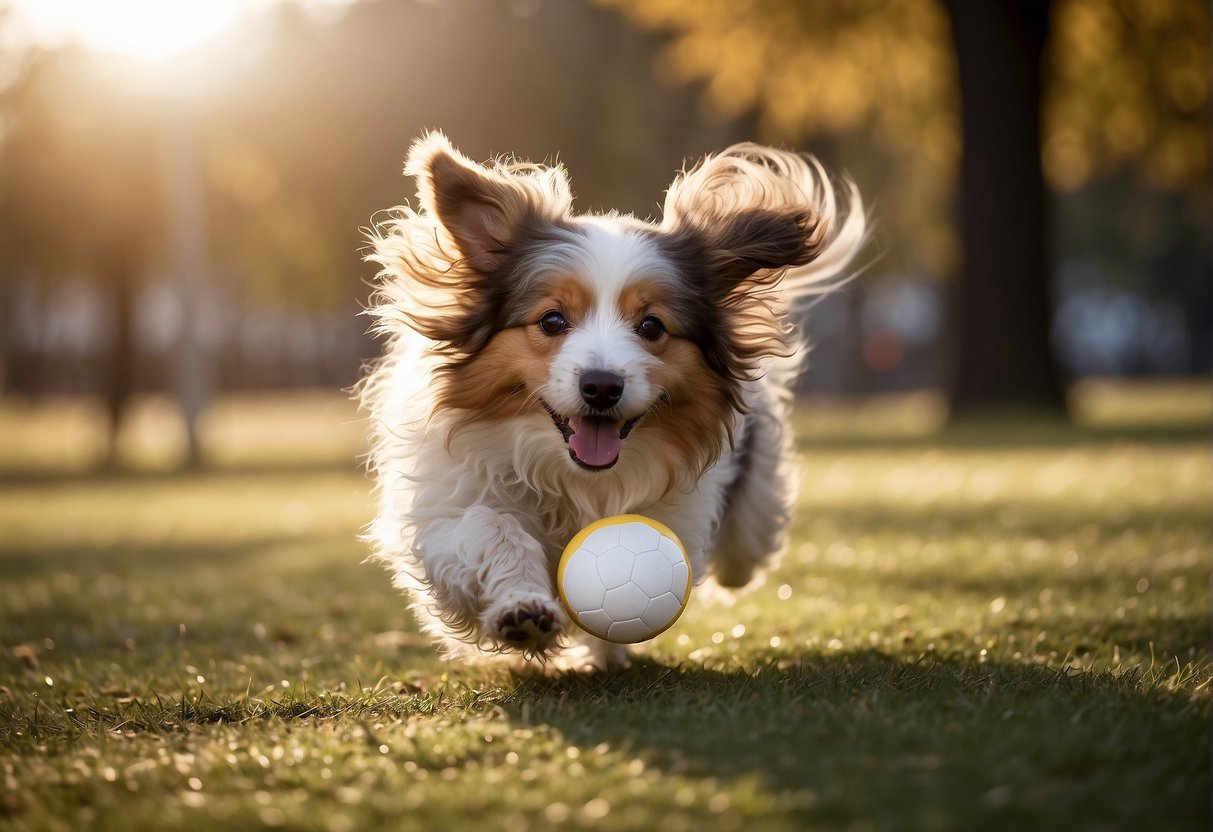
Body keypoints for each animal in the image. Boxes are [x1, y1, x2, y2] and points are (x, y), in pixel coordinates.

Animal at [356, 135, 863, 669]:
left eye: (652, 326)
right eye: (552, 320)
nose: (601, 386)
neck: (571, 479)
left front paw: (601, 649)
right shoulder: (445, 511)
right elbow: (490, 529)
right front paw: (523, 609)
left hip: (756, 512)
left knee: (743, 557)